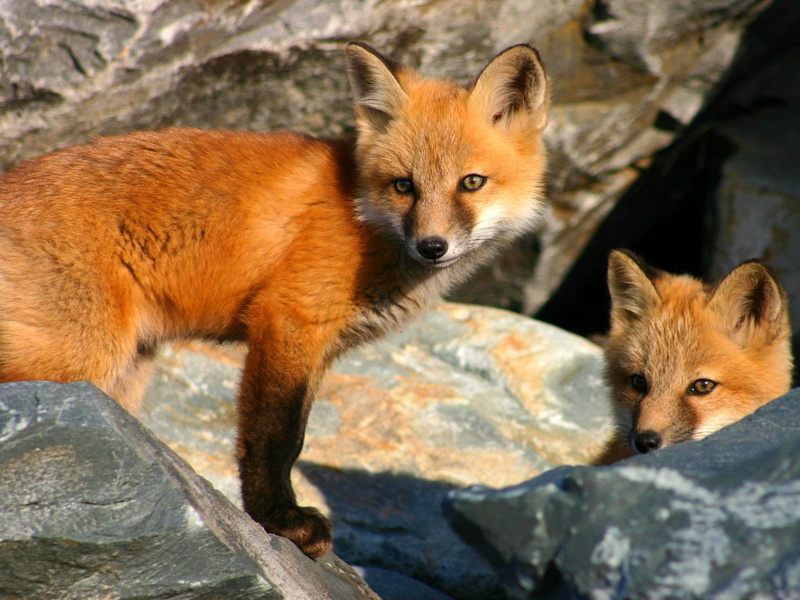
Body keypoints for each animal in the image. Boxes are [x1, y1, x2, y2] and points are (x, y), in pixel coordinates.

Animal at [0, 43, 550, 557]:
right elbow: (277, 437)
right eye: (404, 186)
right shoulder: (289, 320)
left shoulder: (318, 349)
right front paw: (278, 520)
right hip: (82, 358)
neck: (361, 216)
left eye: (471, 183)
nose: (431, 247)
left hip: (126, 375)